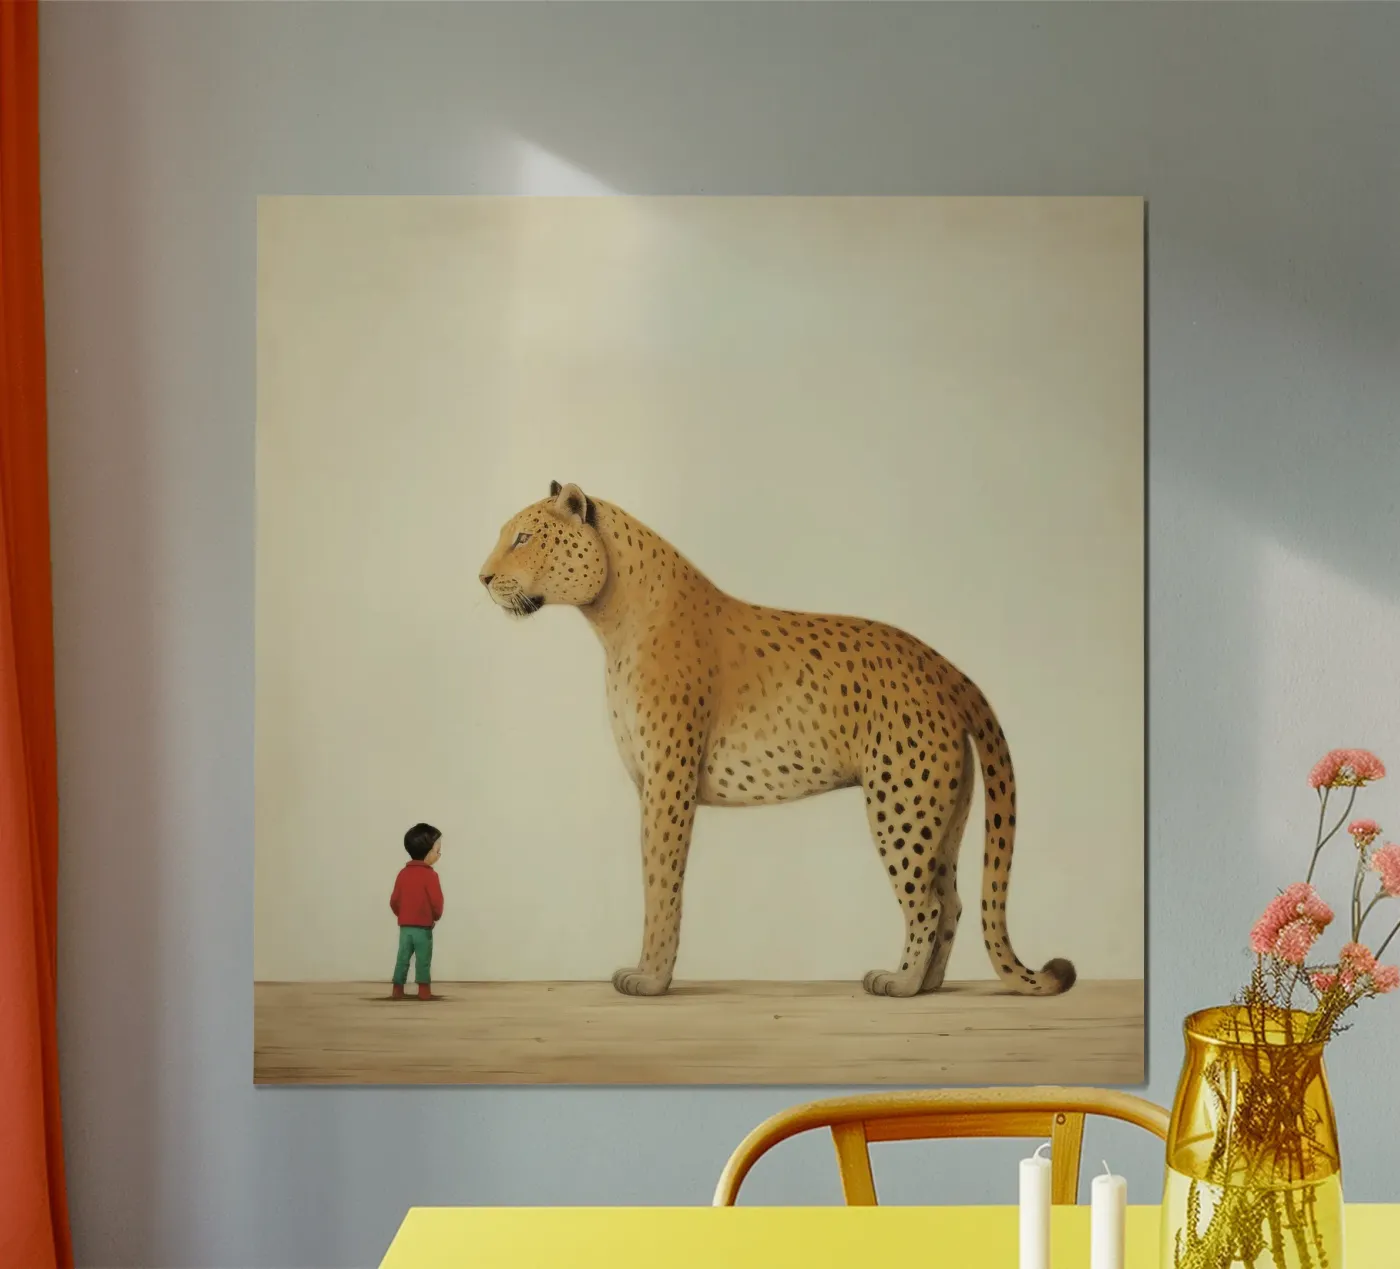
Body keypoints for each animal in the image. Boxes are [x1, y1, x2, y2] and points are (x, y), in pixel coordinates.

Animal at [479, 481, 1076, 999]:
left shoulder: (668, 785)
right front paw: (650, 973)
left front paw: (649, 979)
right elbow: (656, 880)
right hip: (944, 813)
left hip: (901, 805)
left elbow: (660, 884)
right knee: (950, 901)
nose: (482, 577)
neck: (612, 617)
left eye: (523, 538)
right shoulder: (651, 784)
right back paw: (928, 985)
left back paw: (899, 983)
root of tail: (946, 667)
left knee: (925, 904)